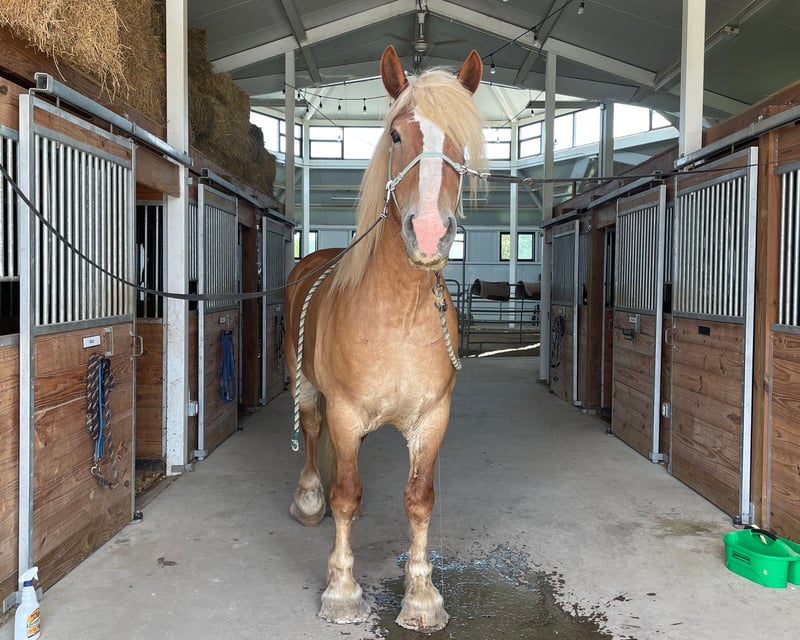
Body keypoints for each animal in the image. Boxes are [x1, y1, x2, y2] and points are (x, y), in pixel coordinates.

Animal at [284, 44, 486, 632]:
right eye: (396, 134)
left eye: (461, 139)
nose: (429, 234)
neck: (398, 316)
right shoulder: (346, 410)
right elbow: (346, 496)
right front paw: (341, 590)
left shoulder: (432, 419)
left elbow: (419, 499)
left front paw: (421, 597)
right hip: (304, 385)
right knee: (312, 435)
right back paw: (310, 500)